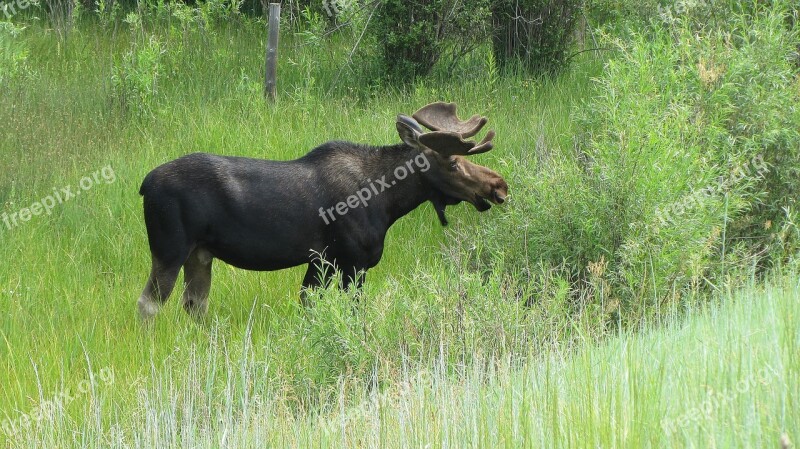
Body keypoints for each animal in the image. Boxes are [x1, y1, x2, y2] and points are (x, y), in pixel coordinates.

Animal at [137, 102, 506, 318]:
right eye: (454, 163)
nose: (499, 186)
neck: (389, 205)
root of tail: (144, 184)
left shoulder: (320, 262)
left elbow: (308, 305)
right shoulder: (352, 262)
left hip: (200, 254)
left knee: (194, 305)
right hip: (169, 250)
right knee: (149, 304)